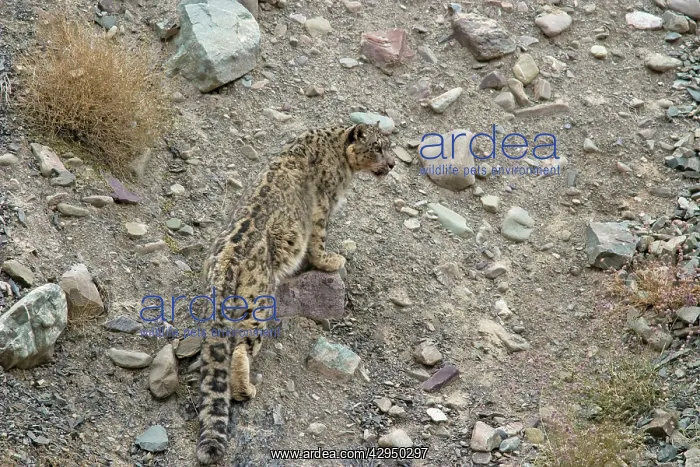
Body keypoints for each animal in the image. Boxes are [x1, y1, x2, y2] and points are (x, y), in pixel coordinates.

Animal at [195, 122, 395, 465]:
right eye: (378, 147)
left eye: (389, 146)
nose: (393, 164)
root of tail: (224, 262)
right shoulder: (322, 209)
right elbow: (317, 242)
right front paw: (331, 260)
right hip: (259, 301)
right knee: (242, 345)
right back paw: (245, 389)